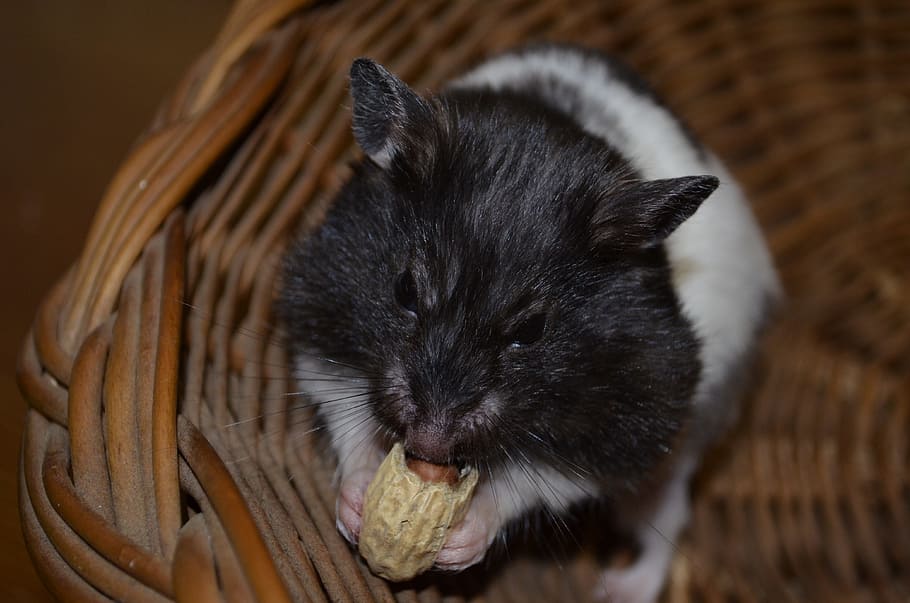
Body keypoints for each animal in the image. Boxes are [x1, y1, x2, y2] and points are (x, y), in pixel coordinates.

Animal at [277, 44, 780, 602]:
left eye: (532, 330)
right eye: (404, 289)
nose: (428, 445)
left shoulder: (623, 422)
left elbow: (530, 478)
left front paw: (461, 543)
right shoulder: (321, 315)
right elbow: (346, 414)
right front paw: (355, 506)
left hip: (674, 454)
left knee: (668, 520)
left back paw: (618, 589)